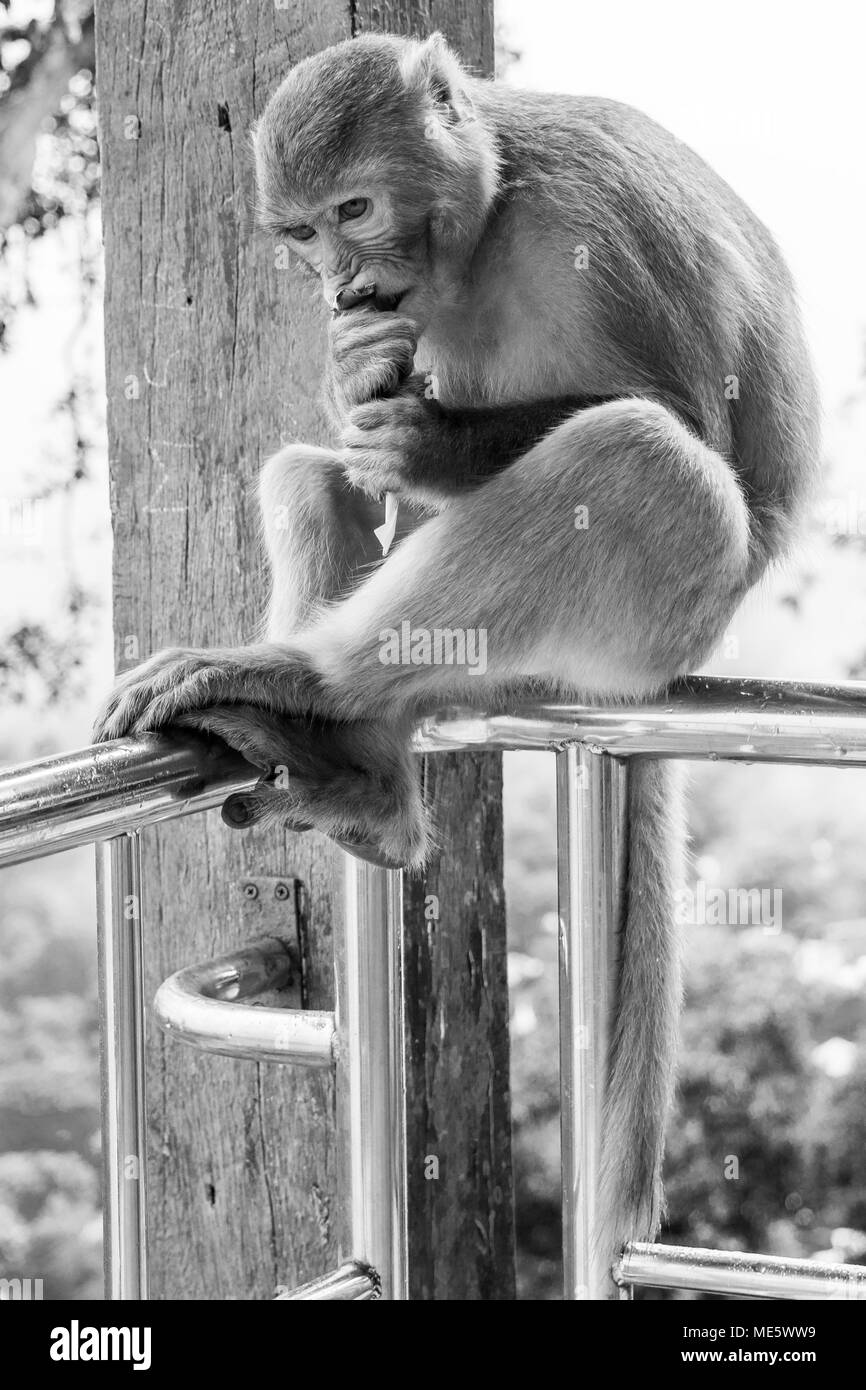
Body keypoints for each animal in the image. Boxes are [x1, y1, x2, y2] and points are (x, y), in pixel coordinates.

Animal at [93, 35, 817, 1289]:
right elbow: (346, 441)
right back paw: (362, 764)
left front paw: (426, 436)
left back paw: (311, 679)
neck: (486, 219)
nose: (340, 281)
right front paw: (355, 378)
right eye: (303, 232)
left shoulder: (595, 217)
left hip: (653, 623)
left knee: (639, 456)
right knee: (308, 473)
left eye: (354, 209)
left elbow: (684, 410)